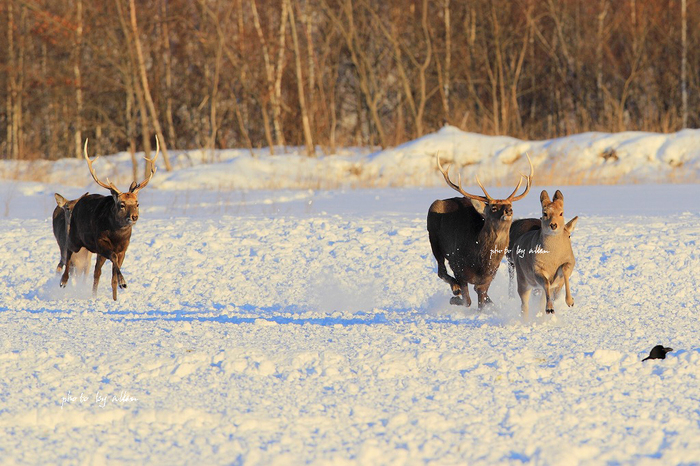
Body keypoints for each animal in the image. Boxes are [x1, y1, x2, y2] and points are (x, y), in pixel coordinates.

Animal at [60, 138, 160, 300]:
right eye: (121, 204)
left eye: (137, 203)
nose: (134, 216)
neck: (117, 236)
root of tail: (80, 200)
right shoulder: (101, 243)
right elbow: (112, 259)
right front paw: (123, 282)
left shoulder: (123, 248)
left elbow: (113, 274)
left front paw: (116, 296)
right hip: (76, 236)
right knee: (69, 251)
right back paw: (63, 281)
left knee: (96, 272)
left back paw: (94, 295)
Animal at [508, 187, 580, 318]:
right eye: (545, 213)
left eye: (561, 213)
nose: (553, 225)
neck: (553, 258)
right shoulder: (536, 268)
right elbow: (546, 283)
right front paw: (550, 309)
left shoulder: (570, 261)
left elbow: (565, 272)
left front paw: (570, 301)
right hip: (522, 278)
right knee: (524, 303)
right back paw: (526, 319)